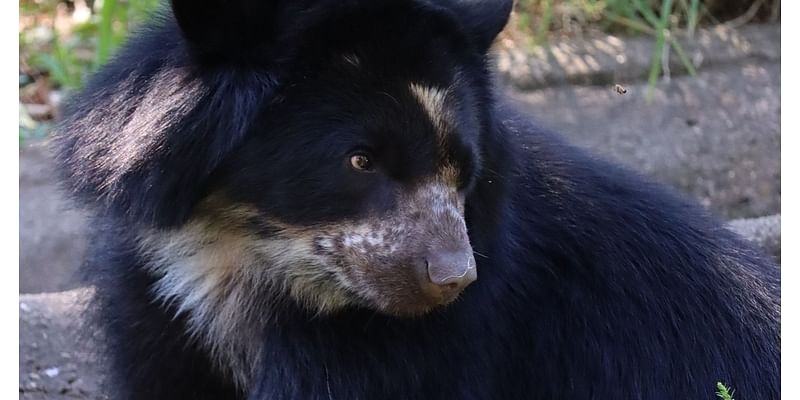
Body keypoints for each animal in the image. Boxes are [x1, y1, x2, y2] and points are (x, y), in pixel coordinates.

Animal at [54, 0, 780, 398]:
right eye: (359, 160)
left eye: (462, 166)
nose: (452, 278)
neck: (245, 263)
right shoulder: (159, 300)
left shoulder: (417, 351)